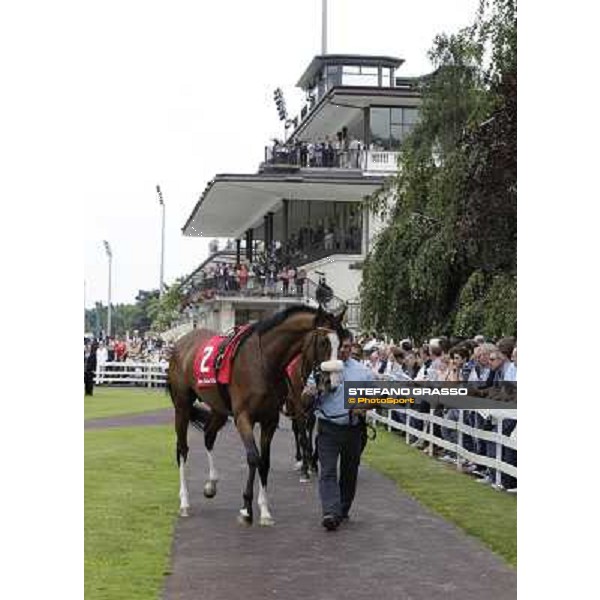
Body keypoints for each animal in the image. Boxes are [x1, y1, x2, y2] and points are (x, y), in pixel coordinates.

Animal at [169, 304, 346, 524]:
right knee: (182, 449)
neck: (264, 362)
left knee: (209, 436)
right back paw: (184, 502)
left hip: (219, 408)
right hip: (182, 406)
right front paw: (246, 508)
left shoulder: (270, 419)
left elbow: (265, 461)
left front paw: (264, 510)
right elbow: (254, 457)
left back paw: (211, 484)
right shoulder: (243, 417)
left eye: (341, 343)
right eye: (323, 342)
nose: (333, 382)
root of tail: (181, 342)